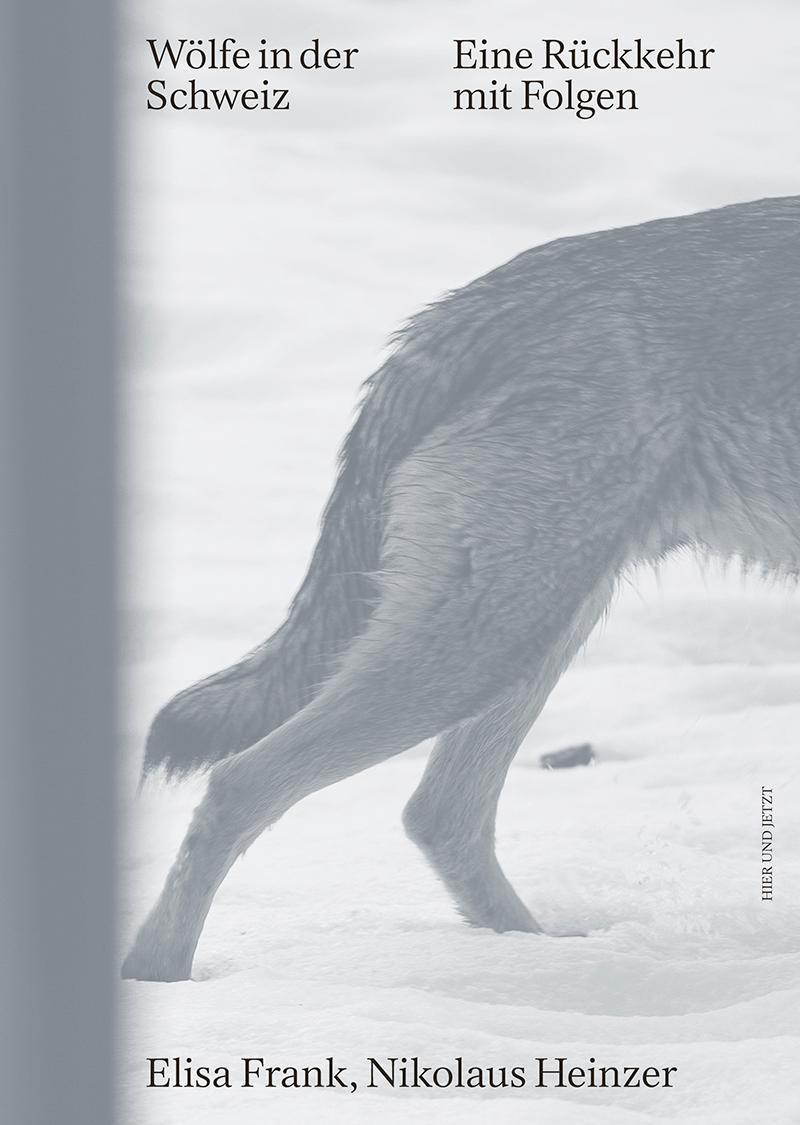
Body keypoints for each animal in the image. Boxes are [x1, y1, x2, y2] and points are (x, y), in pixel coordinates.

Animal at [123, 196, 800, 981]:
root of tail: (462, 307)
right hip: (489, 643)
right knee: (244, 784)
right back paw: (160, 976)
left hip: (530, 634)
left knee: (439, 813)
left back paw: (533, 950)